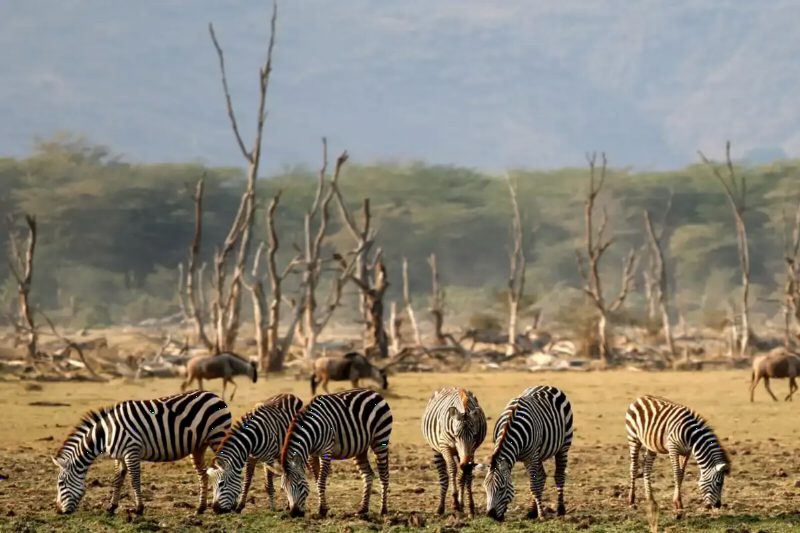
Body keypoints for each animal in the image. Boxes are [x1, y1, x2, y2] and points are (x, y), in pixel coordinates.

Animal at [53, 390, 231, 515]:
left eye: (60, 483)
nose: (58, 511)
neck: (105, 434)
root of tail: (215, 395)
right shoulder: (119, 457)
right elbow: (117, 480)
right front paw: (111, 506)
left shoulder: (131, 451)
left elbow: (134, 480)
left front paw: (138, 509)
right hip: (198, 446)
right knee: (203, 475)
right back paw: (200, 508)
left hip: (218, 437)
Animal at [267, 388, 393, 517]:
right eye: (283, 488)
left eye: (299, 484)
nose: (294, 513)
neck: (312, 431)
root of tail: (373, 392)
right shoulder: (312, 455)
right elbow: (317, 480)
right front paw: (322, 507)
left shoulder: (326, 452)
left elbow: (321, 482)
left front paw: (322, 510)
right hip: (361, 448)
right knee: (368, 475)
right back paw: (363, 509)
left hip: (380, 439)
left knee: (384, 475)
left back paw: (383, 510)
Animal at [421, 387, 487, 516]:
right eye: (456, 435)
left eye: (475, 435)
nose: (465, 464)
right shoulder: (444, 446)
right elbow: (452, 468)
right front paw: (455, 502)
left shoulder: (472, 449)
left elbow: (466, 476)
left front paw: (469, 506)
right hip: (436, 450)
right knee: (443, 477)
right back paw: (441, 508)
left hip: (460, 454)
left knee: (462, 476)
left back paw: (461, 504)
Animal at [484, 386, 573, 522]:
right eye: (485, 488)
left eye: (501, 488)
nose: (490, 515)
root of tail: (548, 386)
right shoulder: (529, 457)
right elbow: (536, 483)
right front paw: (536, 512)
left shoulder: (531, 457)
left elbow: (534, 486)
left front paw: (541, 515)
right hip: (538, 455)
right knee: (541, 477)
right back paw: (532, 511)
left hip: (563, 446)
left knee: (559, 476)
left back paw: (560, 509)